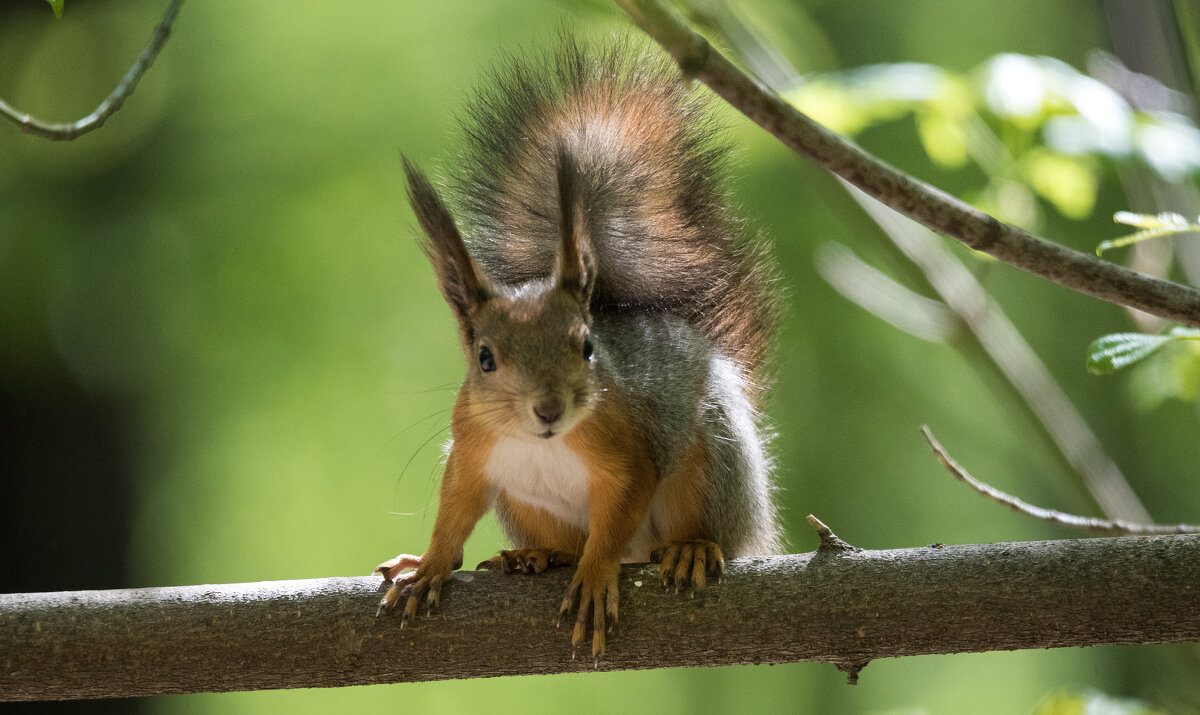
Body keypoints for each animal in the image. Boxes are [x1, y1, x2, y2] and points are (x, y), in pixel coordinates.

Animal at [376, 36, 787, 657]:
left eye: (588, 346)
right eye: (484, 358)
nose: (549, 409)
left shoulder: (627, 451)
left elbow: (617, 516)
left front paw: (595, 576)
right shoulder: (471, 450)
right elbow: (454, 512)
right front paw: (429, 566)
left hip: (715, 460)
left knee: (704, 528)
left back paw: (691, 548)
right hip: (523, 504)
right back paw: (539, 555)